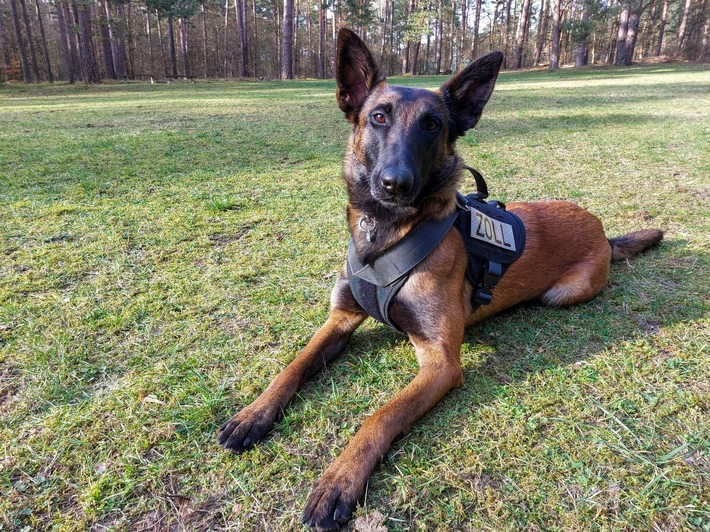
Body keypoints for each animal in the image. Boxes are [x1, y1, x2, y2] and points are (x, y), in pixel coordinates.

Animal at [218, 30, 668, 532]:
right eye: (378, 117)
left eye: (432, 125)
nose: (395, 184)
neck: (387, 233)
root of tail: (601, 229)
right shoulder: (340, 319)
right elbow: (293, 366)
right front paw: (254, 414)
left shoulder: (440, 363)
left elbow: (380, 416)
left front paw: (339, 480)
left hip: (560, 294)